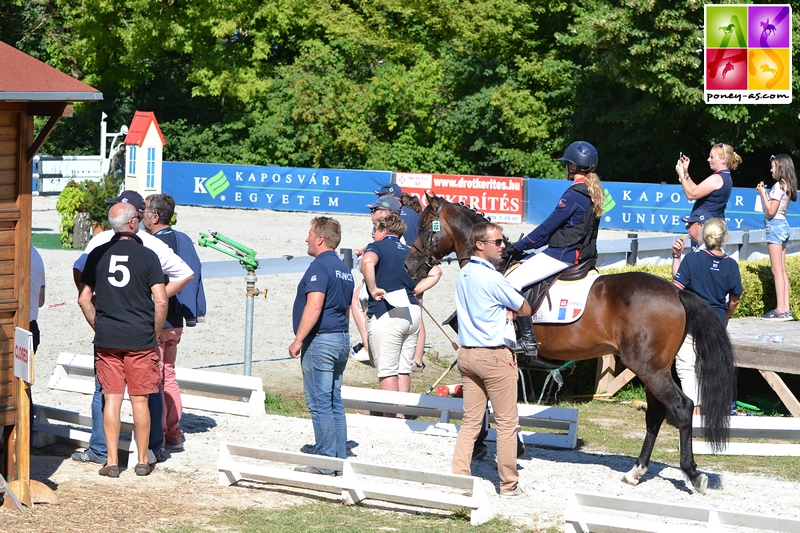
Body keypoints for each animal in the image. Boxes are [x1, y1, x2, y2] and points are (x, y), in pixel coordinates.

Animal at [406, 190, 736, 490]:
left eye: (424, 227)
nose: (410, 266)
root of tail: (676, 292)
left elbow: (490, 403)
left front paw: (485, 446)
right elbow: (503, 403)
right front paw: (509, 444)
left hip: (649, 368)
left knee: (681, 407)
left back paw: (692, 473)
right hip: (655, 369)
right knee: (656, 412)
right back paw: (636, 471)